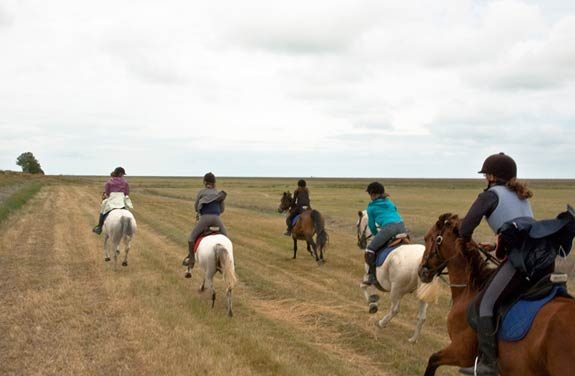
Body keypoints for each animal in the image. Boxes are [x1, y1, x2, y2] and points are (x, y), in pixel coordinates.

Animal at [354, 210, 438, 342]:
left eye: (357, 225)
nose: (360, 244)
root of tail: (420, 261)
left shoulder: (369, 276)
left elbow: (364, 287)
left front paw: (372, 304)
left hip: (396, 290)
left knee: (394, 309)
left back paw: (382, 323)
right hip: (422, 293)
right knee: (422, 317)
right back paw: (412, 340)